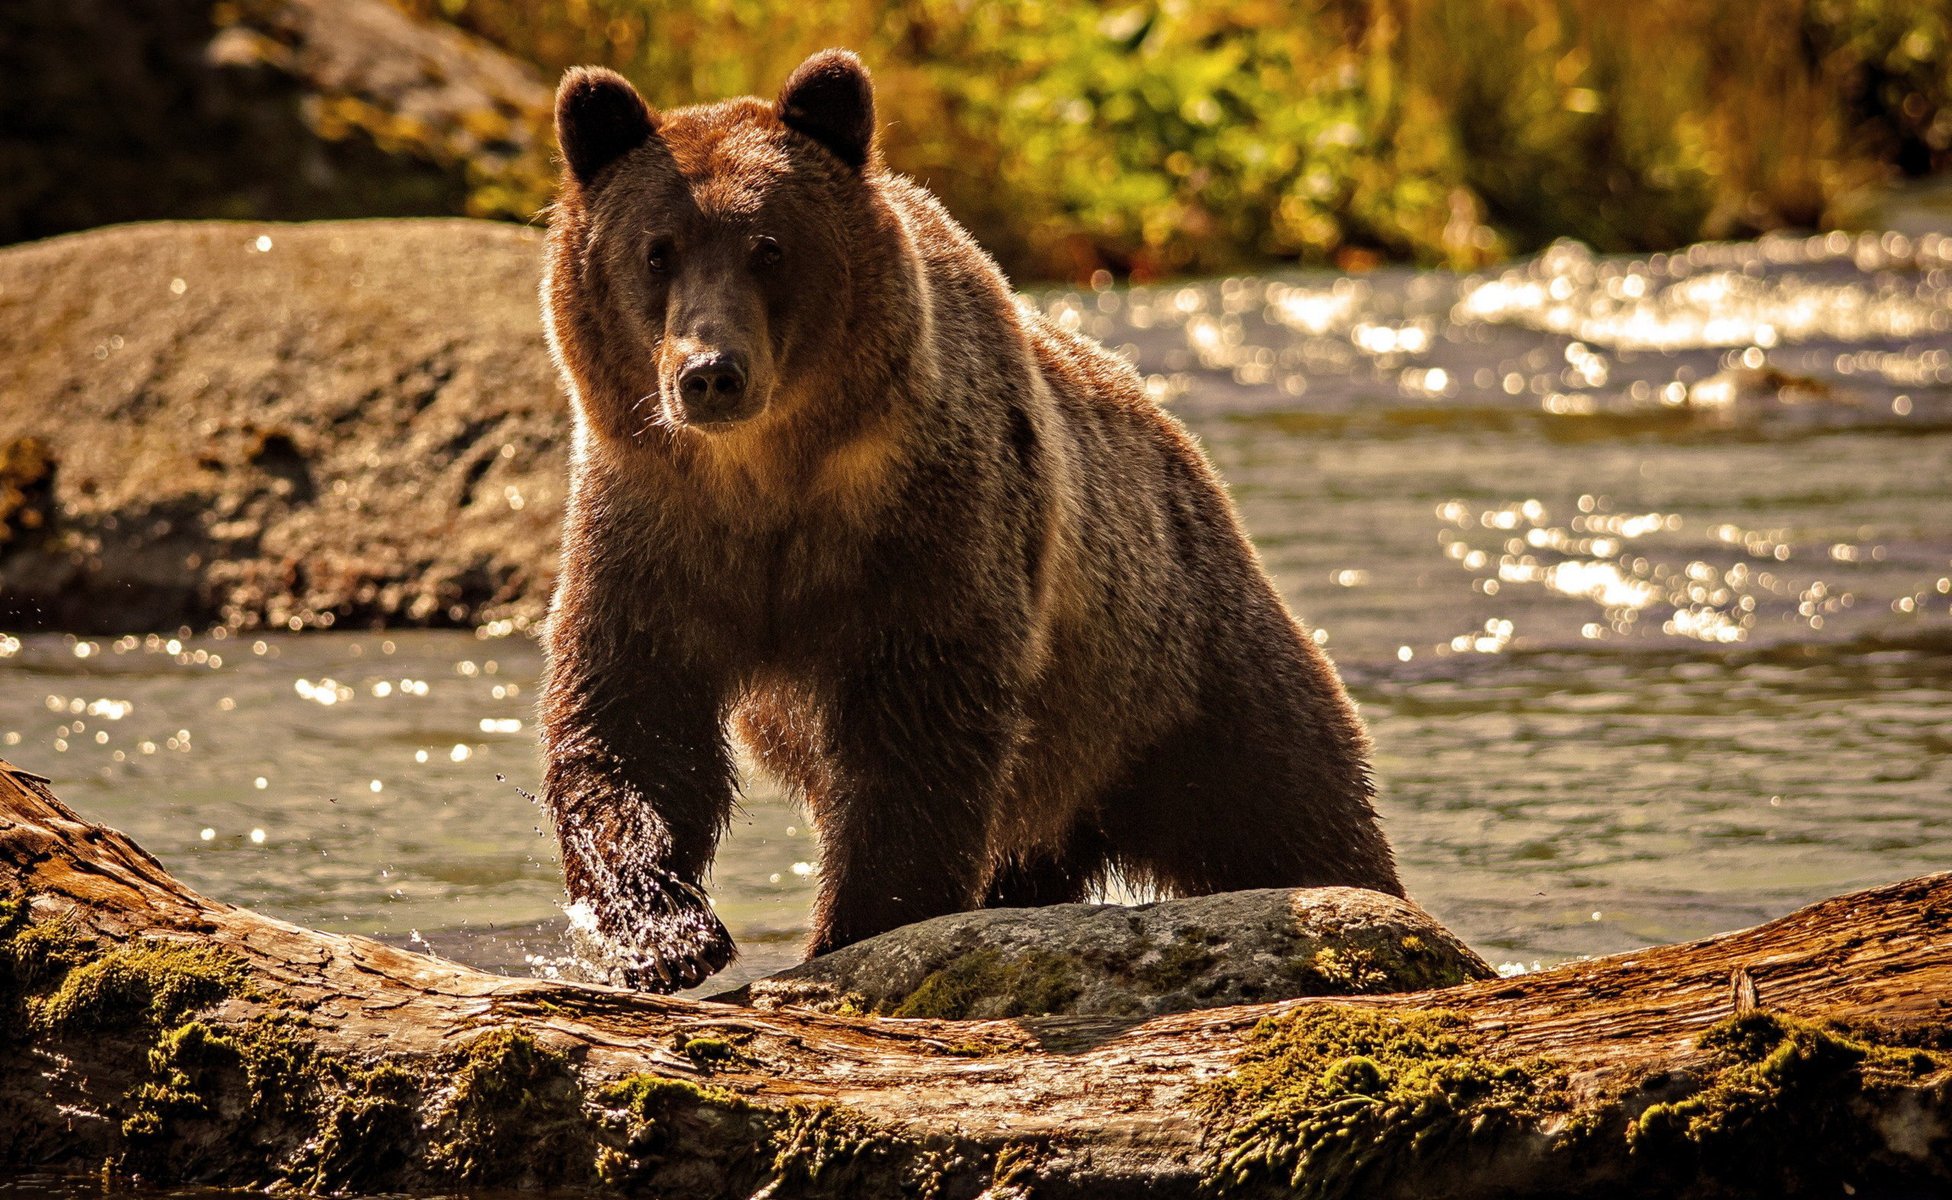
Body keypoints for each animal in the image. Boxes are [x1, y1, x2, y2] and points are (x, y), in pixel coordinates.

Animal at [534, 49, 1405, 995]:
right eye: (656, 251)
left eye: (769, 246)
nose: (710, 373)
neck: (768, 476)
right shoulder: (654, 524)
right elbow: (632, 715)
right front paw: (663, 932)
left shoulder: (928, 525)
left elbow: (917, 734)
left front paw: (854, 927)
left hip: (1179, 667)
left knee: (1289, 804)